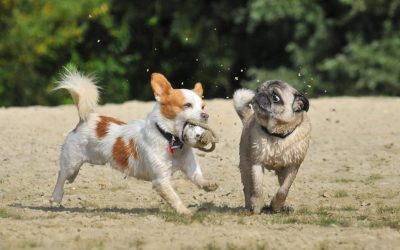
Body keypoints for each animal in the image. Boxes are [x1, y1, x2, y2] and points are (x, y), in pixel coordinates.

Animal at [50, 69, 219, 214]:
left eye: (203, 106)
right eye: (187, 105)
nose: (205, 115)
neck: (171, 139)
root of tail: (86, 119)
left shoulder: (189, 167)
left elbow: (197, 177)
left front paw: (207, 185)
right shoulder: (161, 181)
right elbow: (174, 197)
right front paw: (185, 212)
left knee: (70, 174)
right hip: (72, 161)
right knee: (62, 175)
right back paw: (56, 196)